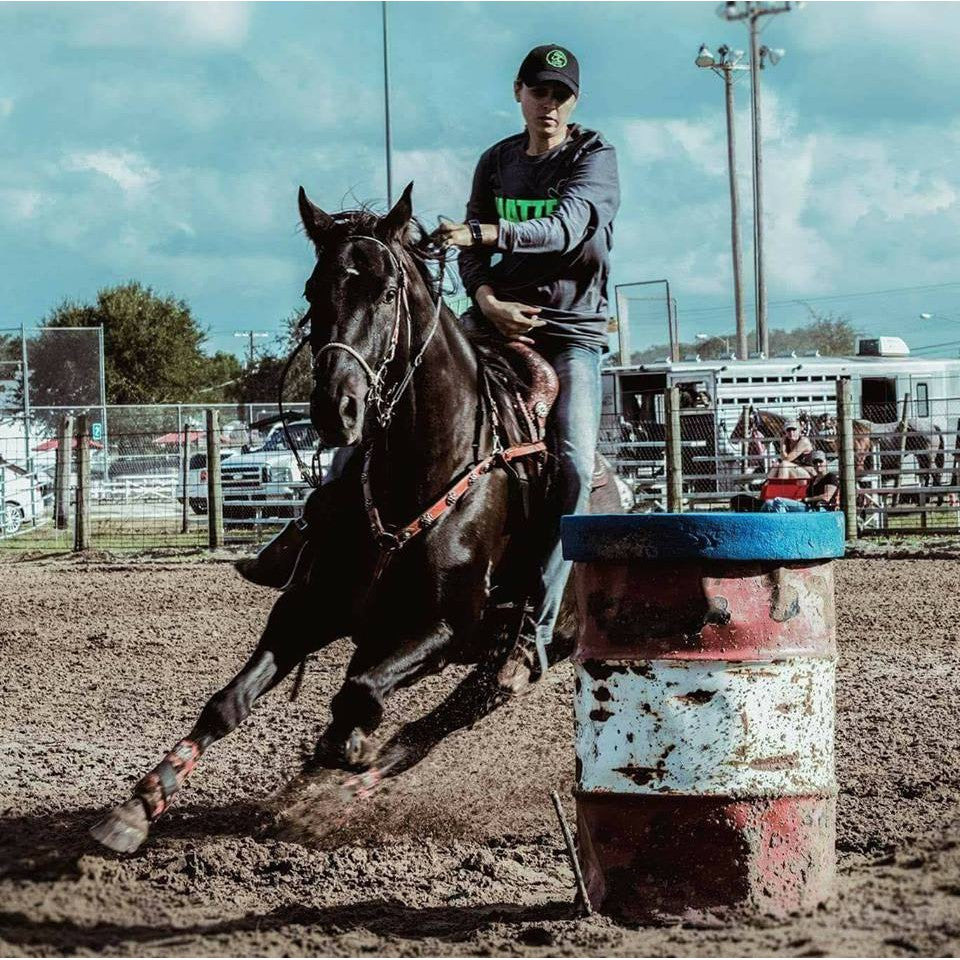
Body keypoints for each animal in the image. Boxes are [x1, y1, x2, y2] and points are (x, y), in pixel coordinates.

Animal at [92, 184, 624, 852]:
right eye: (313, 289)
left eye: (388, 292)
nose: (334, 407)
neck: (417, 475)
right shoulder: (308, 606)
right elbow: (228, 703)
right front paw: (138, 806)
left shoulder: (444, 629)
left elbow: (361, 692)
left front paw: (341, 751)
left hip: (511, 663)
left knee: (423, 734)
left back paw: (328, 796)